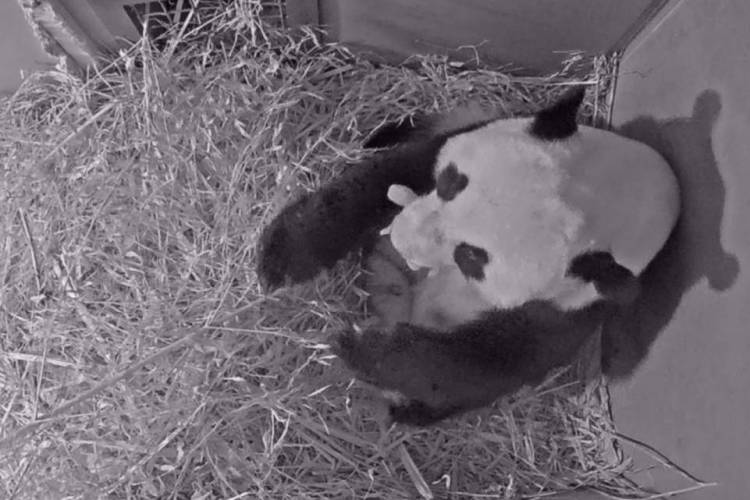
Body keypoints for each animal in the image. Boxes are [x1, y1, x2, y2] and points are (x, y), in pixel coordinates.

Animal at [258, 86, 680, 426]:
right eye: (450, 182)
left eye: (471, 258)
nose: (400, 236)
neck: (620, 190)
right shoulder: (465, 139)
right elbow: (382, 179)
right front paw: (283, 254)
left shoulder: (573, 307)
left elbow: (485, 361)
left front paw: (361, 344)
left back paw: (404, 408)